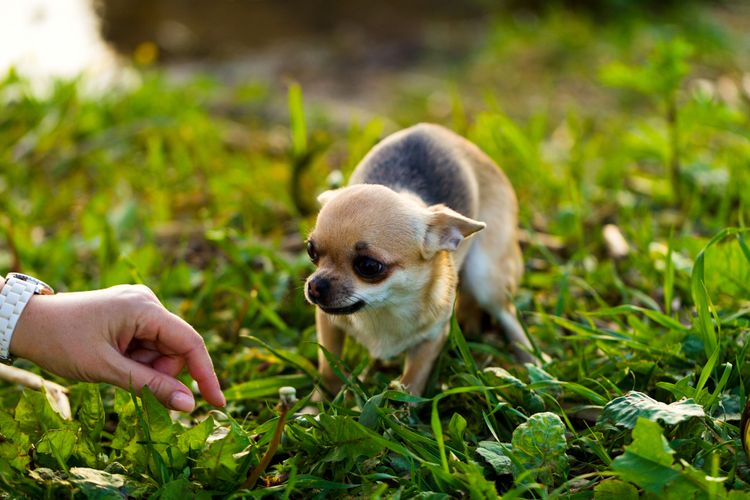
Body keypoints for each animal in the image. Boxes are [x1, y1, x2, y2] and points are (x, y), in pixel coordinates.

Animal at [302, 123, 532, 396]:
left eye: (369, 266)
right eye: (311, 251)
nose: (315, 286)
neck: (385, 308)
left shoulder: (432, 338)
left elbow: (413, 380)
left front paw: (402, 405)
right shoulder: (328, 323)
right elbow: (328, 367)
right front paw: (320, 401)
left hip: (486, 276)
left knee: (507, 313)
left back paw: (531, 361)